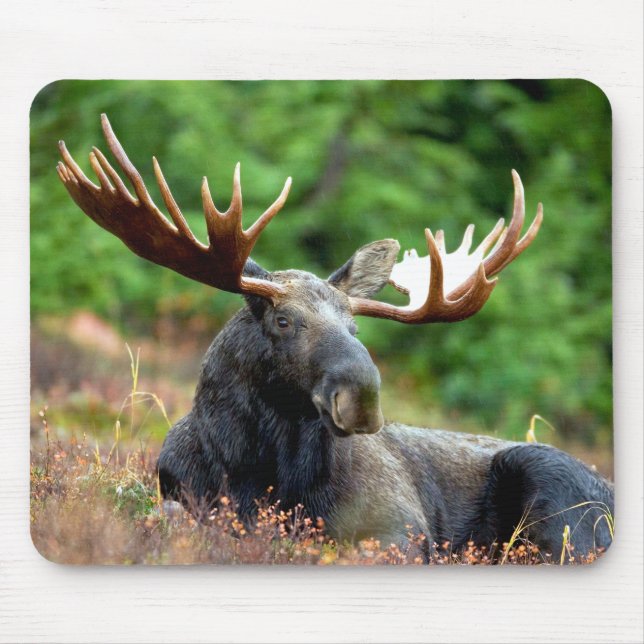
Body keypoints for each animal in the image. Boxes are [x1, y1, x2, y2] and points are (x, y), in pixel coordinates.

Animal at [56, 114, 614, 560]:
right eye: (283, 321)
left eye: (355, 327)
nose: (362, 397)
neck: (259, 473)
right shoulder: (180, 495)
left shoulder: (400, 526)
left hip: (557, 493)